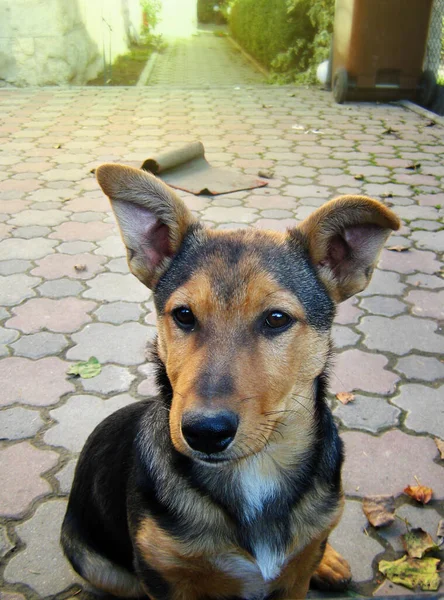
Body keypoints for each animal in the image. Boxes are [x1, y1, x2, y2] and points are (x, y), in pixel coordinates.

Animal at [61, 164, 398, 600]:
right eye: (183, 314)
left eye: (277, 319)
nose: (204, 432)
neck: (254, 470)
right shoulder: (163, 576)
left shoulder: (295, 583)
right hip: (94, 562)